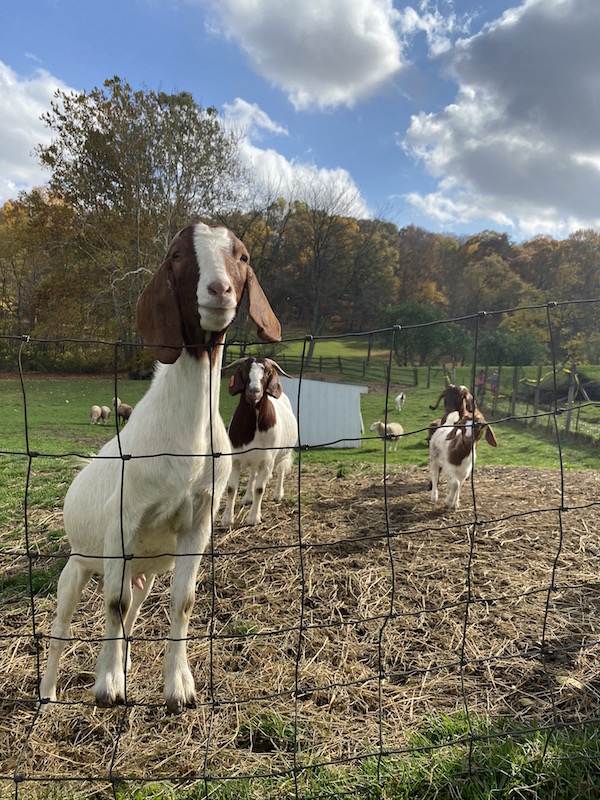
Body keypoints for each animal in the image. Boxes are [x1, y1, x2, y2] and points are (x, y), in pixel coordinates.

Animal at [37, 220, 282, 712]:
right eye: (176, 255)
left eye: (242, 256)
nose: (220, 290)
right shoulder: (124, 522)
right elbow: (111, 604)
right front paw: (107, 685)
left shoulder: (197, 523)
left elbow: (182, 602)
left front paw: (179, 687)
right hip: (79, 564)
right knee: (63, 628)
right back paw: (49, 693)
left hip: (143, 573)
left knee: (131, 611)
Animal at [220, 360, 298, 528]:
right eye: (244, 371)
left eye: (268, 373)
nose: (254, 391)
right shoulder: (235, 459)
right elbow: (231, 489)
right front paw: (227, 519)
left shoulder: (267, 461)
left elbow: (259, 489)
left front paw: (253, 518)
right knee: (252, 474)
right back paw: (248, 497)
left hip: (284, 453)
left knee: (281, 470)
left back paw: (278, 494)